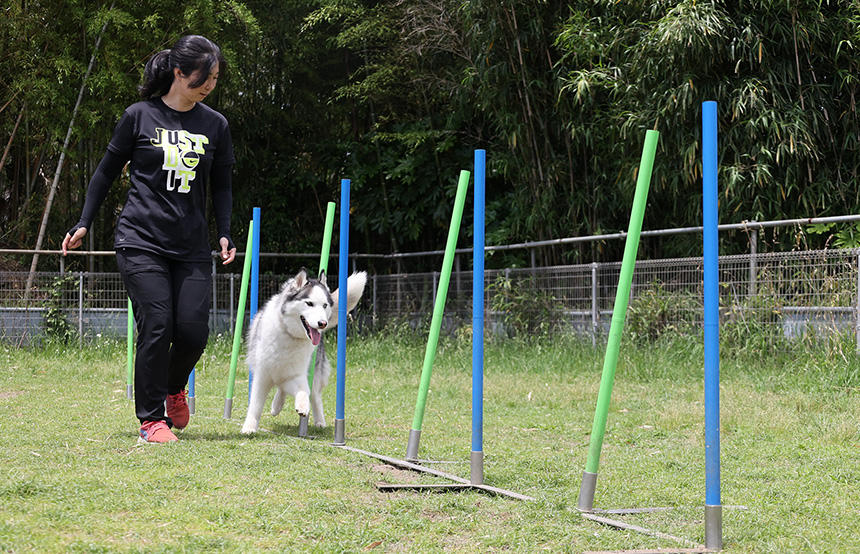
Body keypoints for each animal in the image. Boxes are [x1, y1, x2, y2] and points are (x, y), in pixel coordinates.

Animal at [239, 268, 366, 432]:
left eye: (325, 305)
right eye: (309, 303)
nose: (323, 323)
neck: (290, 335)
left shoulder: (297, 374)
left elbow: (304, 390)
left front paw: (303, 406)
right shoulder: (262, 376)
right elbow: (255, 405)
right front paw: (249, 427)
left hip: (314, 372)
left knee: (314, 395)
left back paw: (319, 421)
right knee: (282, 387)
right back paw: (276, 406)